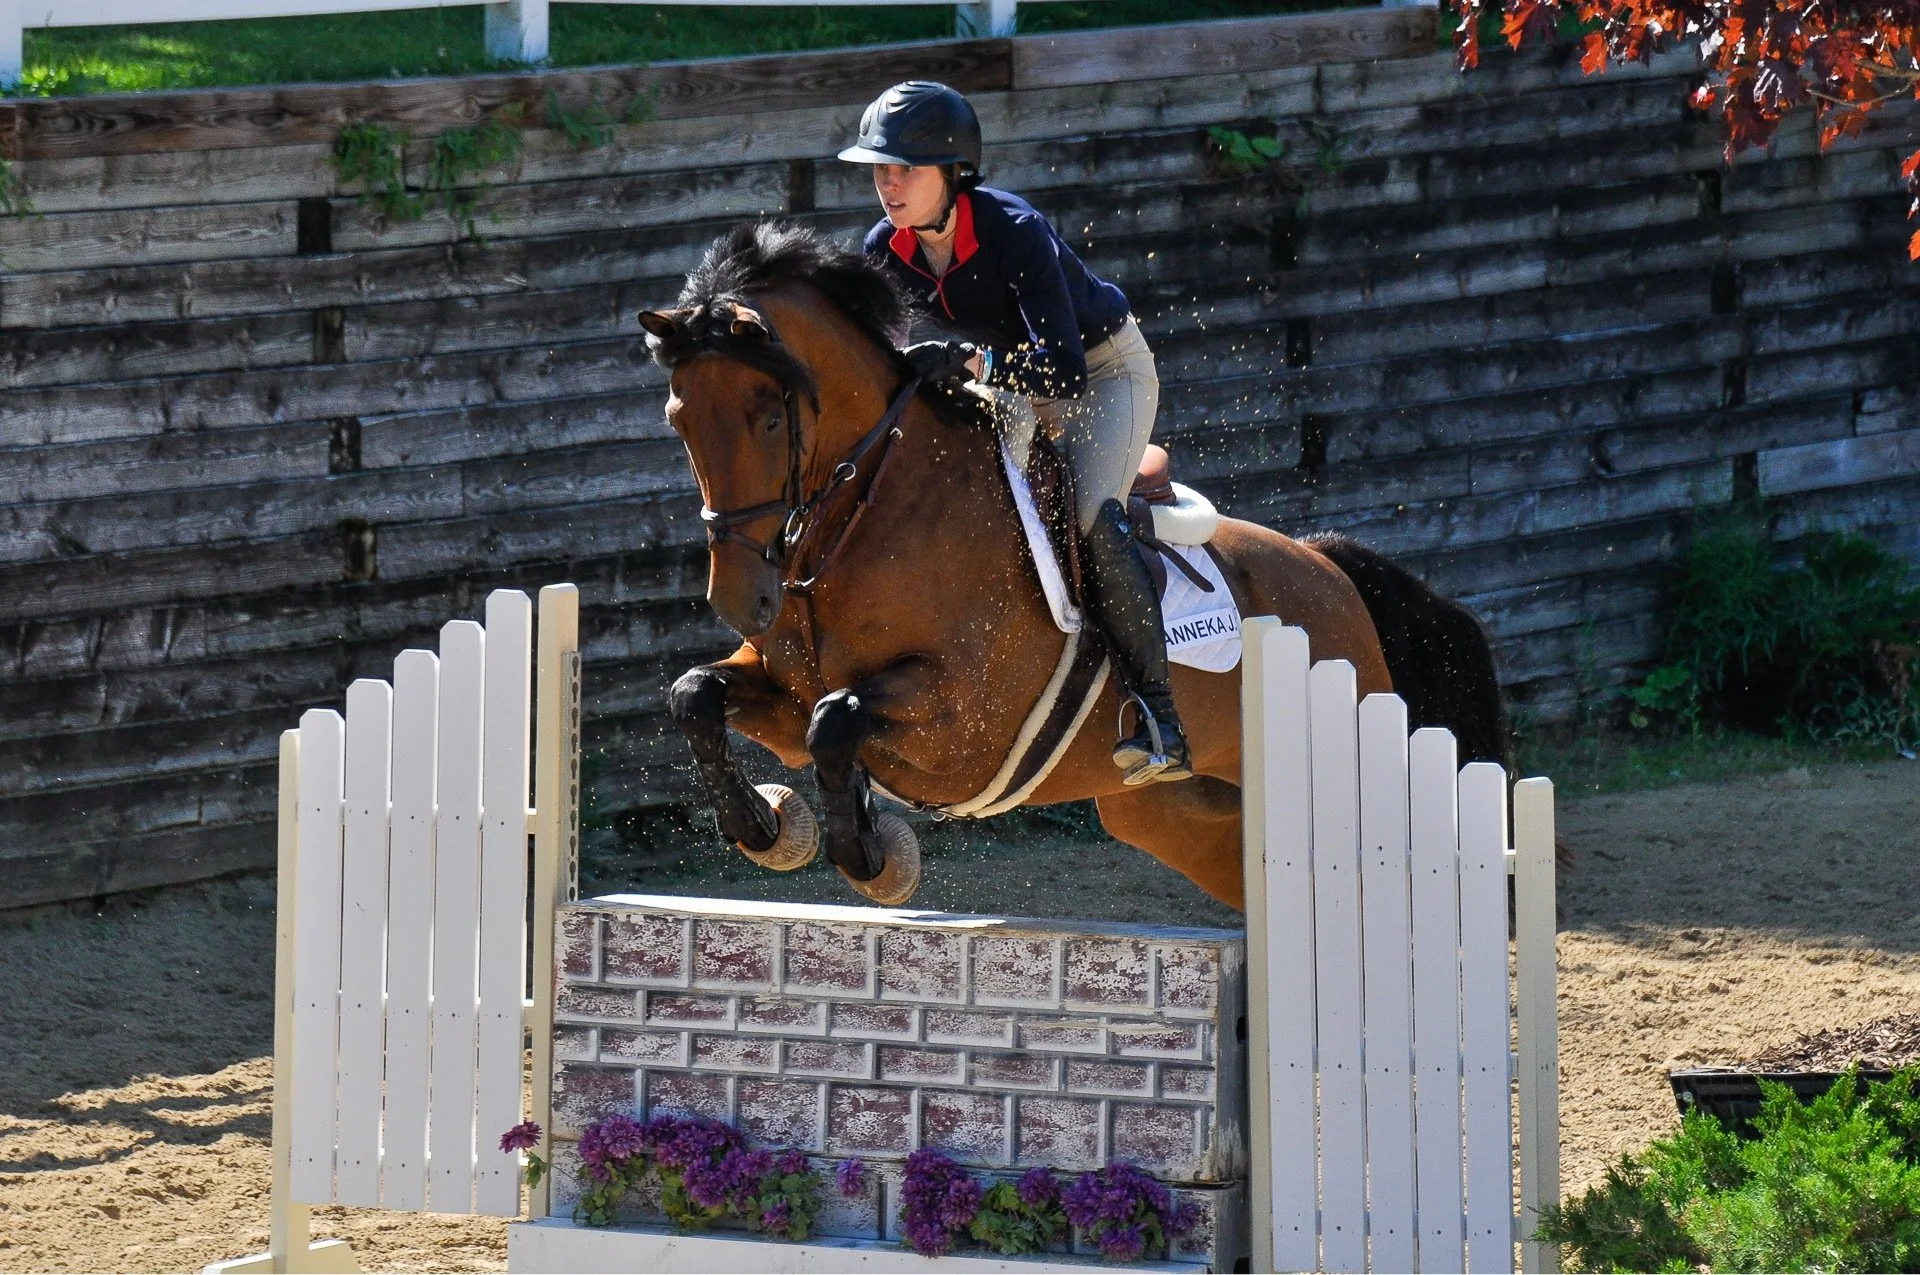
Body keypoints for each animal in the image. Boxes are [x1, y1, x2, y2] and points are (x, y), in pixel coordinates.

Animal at [639, 220, 1510, 911]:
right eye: (677, 418)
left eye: (768, 417)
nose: (739, 598)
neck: (869, 511)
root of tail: (1330, 570)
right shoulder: (783, 697)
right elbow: (700, 697)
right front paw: (766, 826)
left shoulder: (964, 724)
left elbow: (838, 717)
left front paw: (874, 858)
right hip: (1181, 814)